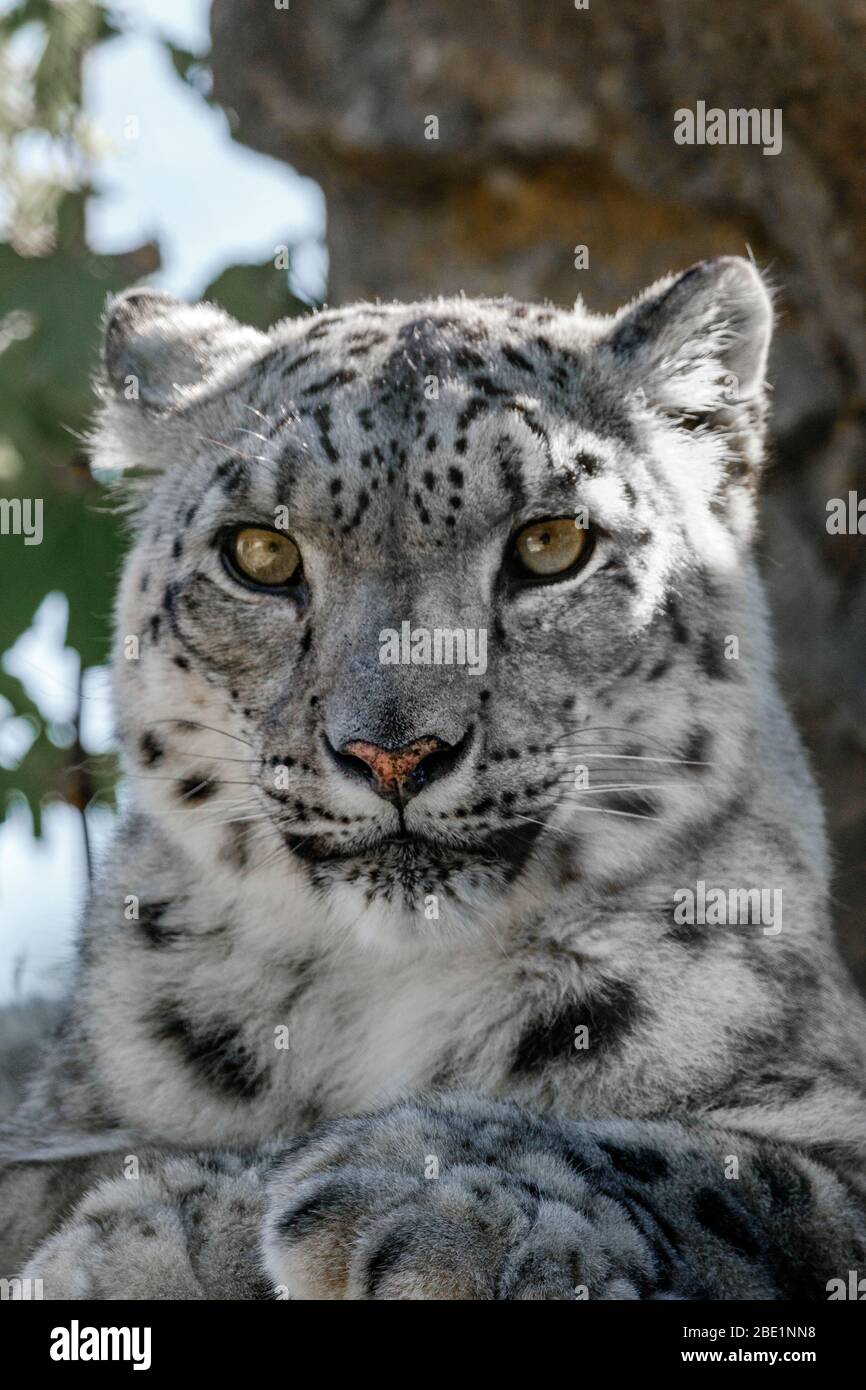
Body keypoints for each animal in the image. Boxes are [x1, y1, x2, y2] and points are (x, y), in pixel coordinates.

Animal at [1, 252, 866, 1301]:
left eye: (551, 543)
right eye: (260, 552)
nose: (396, 753)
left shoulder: (828, 1109)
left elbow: (732, 1170)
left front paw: (423, 1195)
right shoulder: (51, 1133)